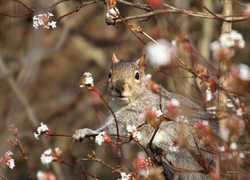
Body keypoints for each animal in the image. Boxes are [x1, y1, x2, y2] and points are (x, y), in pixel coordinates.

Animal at [71, 53, 216, 180]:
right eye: (109, 74)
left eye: (137, 75)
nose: (119, 87)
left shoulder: (138, 111)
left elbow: (113, 129)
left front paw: (86, 132)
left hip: (178, 135)